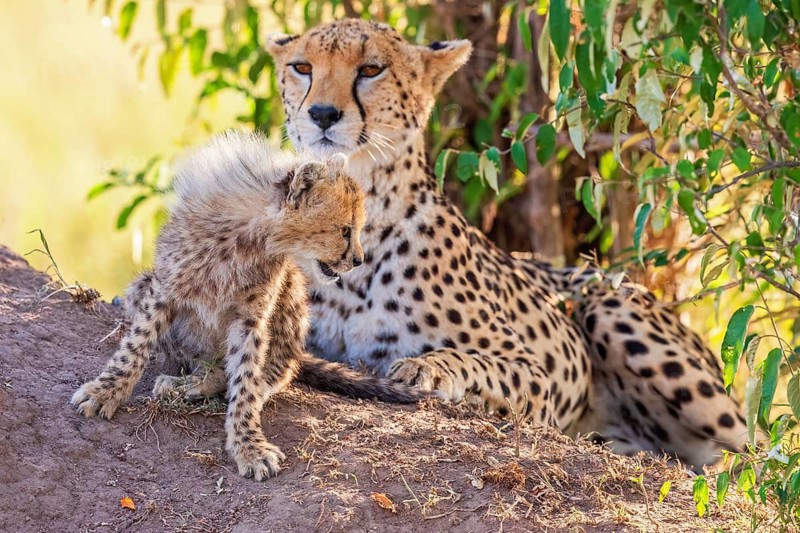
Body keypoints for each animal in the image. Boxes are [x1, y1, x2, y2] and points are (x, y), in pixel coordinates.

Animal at [70, 130, 419, 481]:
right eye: (344, 230)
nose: (359, 260)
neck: (249, 234)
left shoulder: (251, 318)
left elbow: (246, 378)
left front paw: (248, 445)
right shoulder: (163, 291)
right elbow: (134, 347)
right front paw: (105, 392)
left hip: (292, 291)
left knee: (278, 369)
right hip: (141, 287)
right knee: (209, 368)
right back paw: (185, 383)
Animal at [263, 18, 747, 469]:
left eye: (370, 69)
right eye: (302, 67)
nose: (322, 113)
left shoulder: (536, 374)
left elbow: (473, 362)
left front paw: (427, 367)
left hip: (612, 307)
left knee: (748, 453)